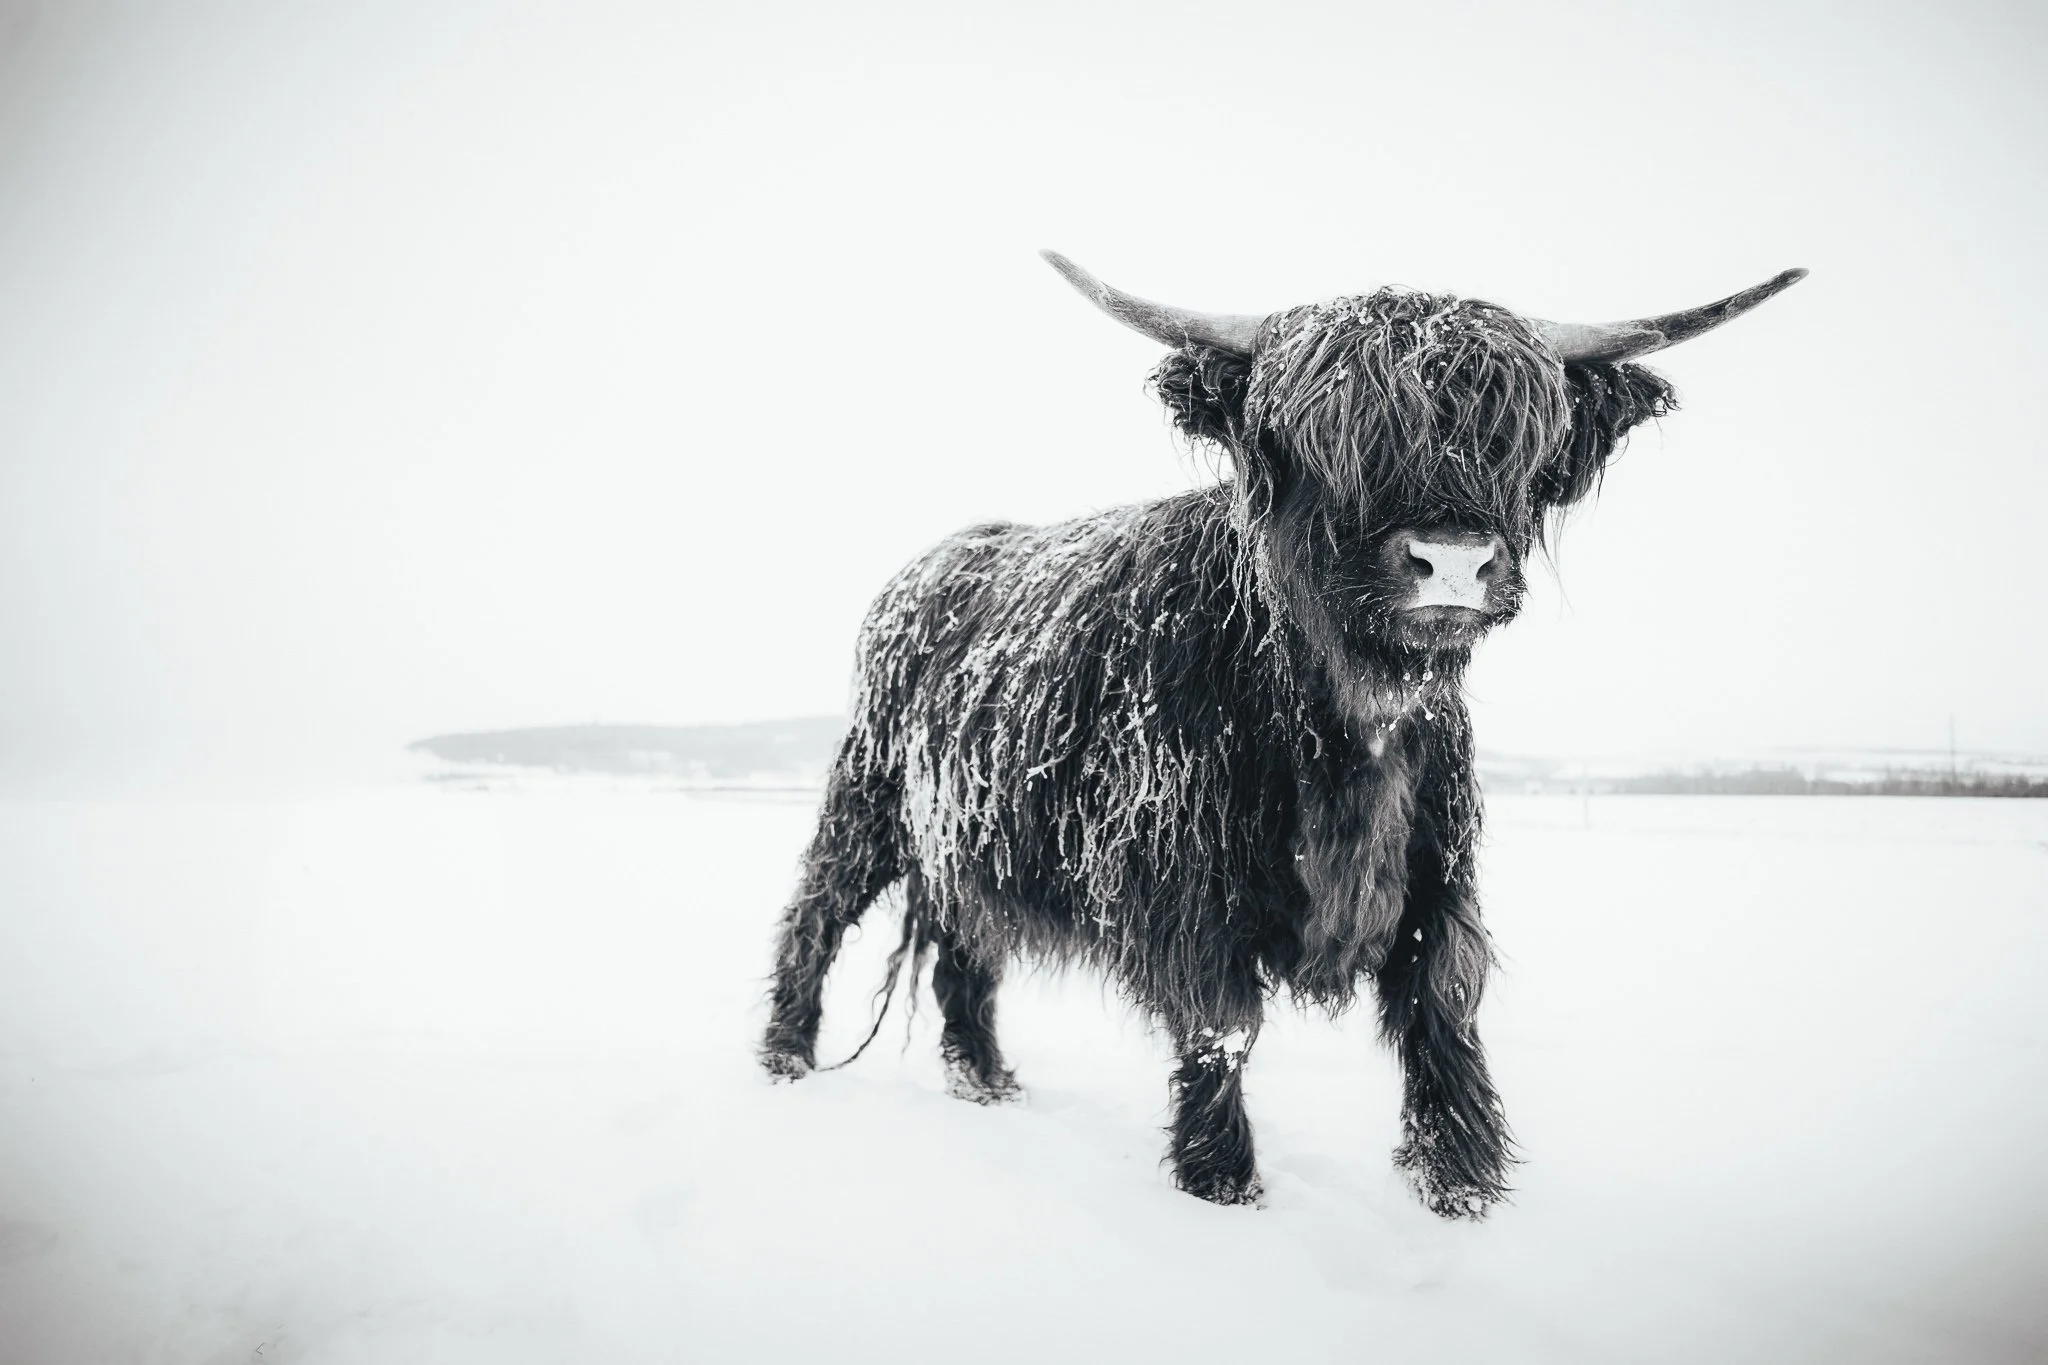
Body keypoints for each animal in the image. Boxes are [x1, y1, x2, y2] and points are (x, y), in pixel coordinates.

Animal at [759, 251, 1805, 1214]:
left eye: (1515, 442)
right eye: (1334, 439)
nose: (1452, 561)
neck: (1352, 729)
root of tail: (942, 557)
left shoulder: (1437, 876)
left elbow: (1443, 1012)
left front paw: (1460, 1183)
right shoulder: (1185, 889)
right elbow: (1219, 1024)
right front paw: (1224, 1181)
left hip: (971, 832)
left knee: (967, 943)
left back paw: (984, 1080)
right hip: (866, 794)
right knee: (818, 912)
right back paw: (786, 1060)